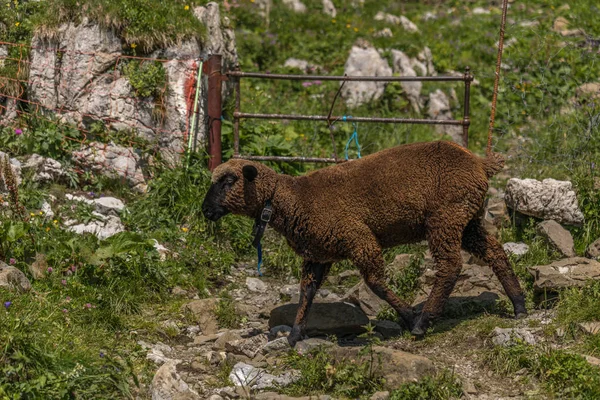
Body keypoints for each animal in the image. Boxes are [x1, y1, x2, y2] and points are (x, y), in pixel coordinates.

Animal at [200, 141, 524, 346]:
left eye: (228, 181)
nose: (205, 210)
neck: (292, 200)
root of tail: (480, 163)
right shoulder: (318, 255)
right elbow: (307, 293)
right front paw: (294, 334)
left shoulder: (358, 237)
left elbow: (375, 283)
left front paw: (410, 316)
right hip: (467, 219)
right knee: (494, 252)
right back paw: (519, 304)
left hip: (446, 216)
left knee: (450, 265)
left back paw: (424, 321)